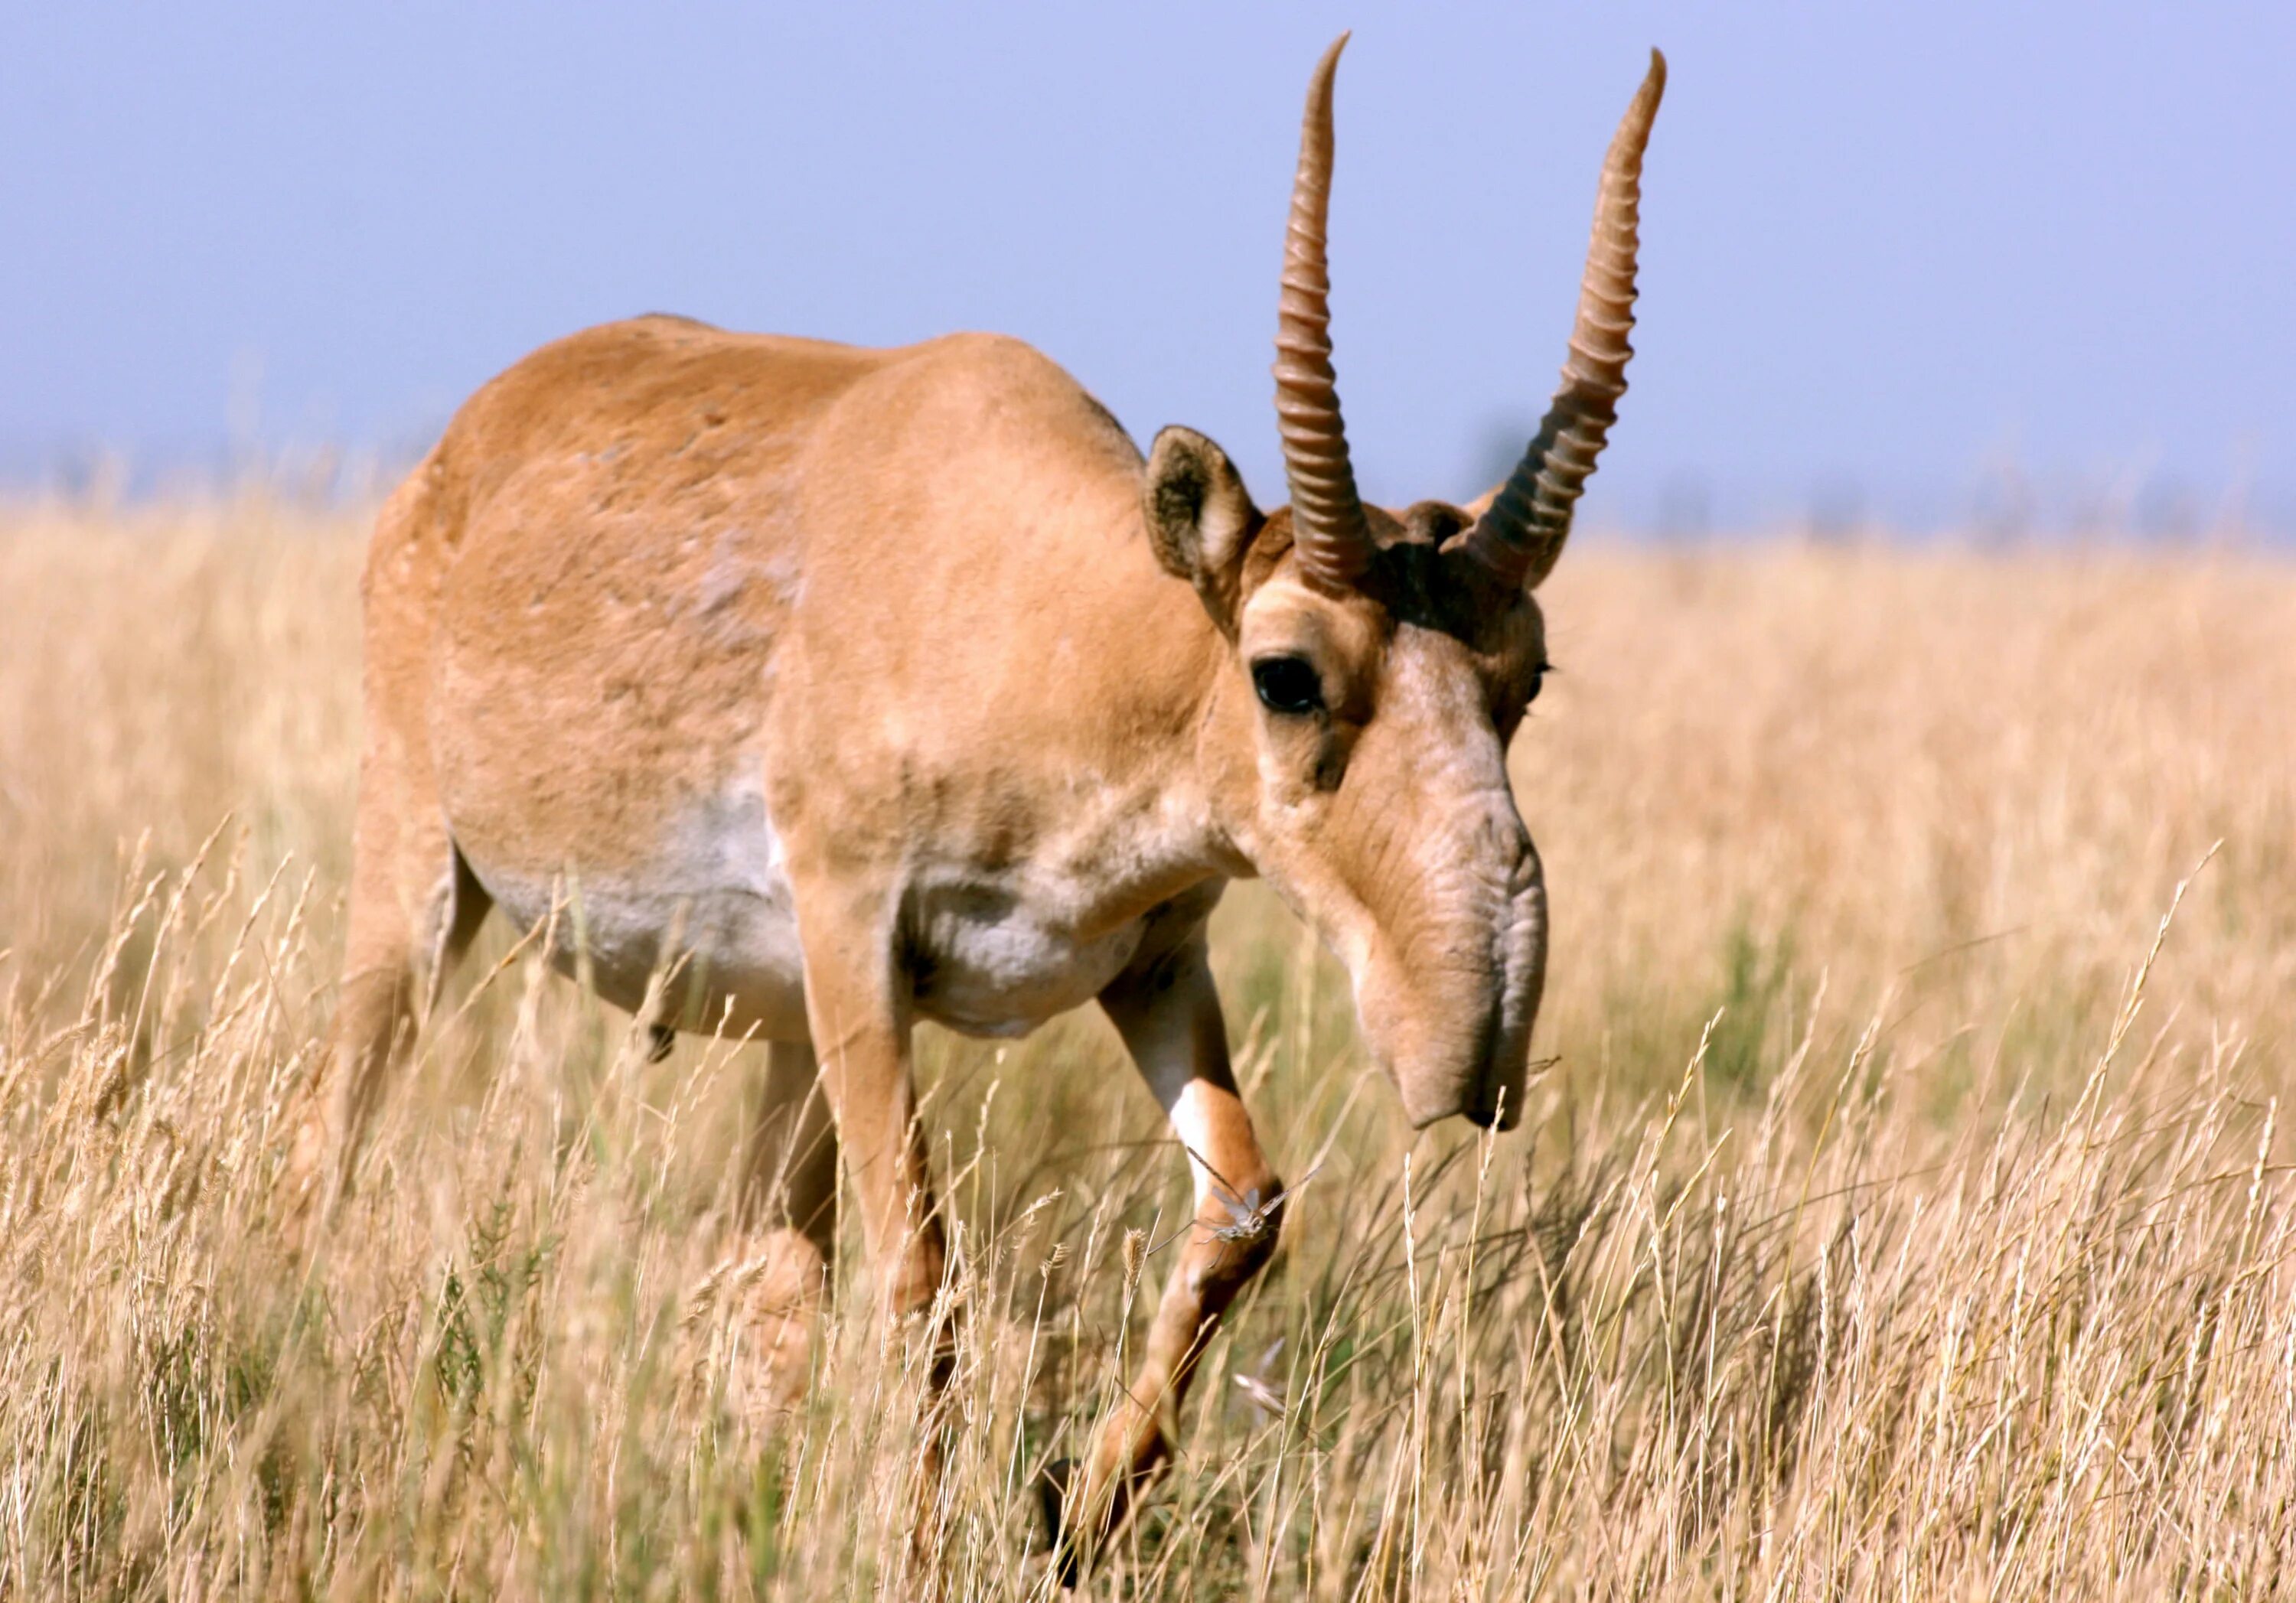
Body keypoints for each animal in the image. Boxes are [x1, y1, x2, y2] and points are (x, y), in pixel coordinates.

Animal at [296, 34, 1671, 1561]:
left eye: (1525, 672)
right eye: (1288, 673)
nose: (1470, 1044)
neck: (1056, 618)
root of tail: (471, 439)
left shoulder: (1152, 964)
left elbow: (1245, 1208)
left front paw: (1077, 1502)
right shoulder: (858, 943)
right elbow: (920, 1263)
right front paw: (929, 1536)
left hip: (784, 1034)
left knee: (762, 1277)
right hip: (424, 888)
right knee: (332, 1138)